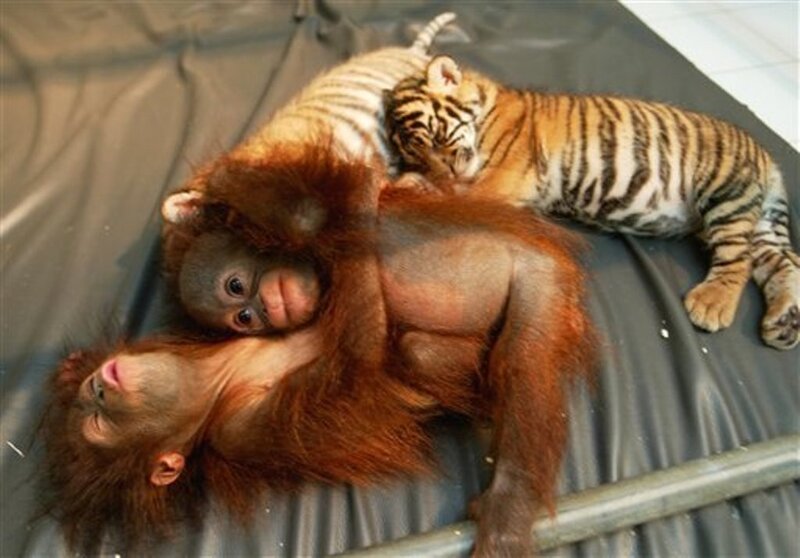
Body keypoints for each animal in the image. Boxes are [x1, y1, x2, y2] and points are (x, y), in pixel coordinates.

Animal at [42, 181, 596, 557]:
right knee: (510, 358)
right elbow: (365, 356)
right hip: (542, 287)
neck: (221, 374)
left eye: (237, 289)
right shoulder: (244, 430)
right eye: (96, 423)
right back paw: (508, 509)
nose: (98, 390)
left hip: (540, 270)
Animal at [385, 55, 800, 350]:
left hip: (724, 194)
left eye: (439, 139)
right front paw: (411, 182)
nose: (444, 172)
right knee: (784, 262)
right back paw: (784, 324)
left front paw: (415, 190)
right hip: (756, 222)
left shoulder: (505, 176)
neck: (487, 110)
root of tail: (768, 157)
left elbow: (461, 196)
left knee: (738, 261)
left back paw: (712, 304)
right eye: (418, 156)